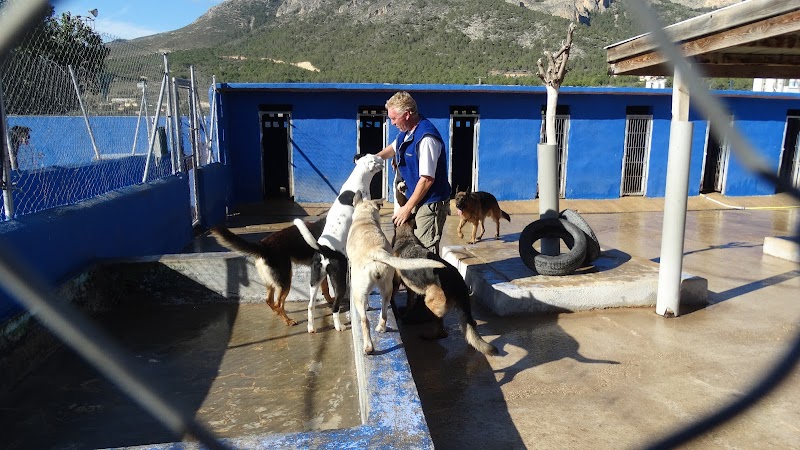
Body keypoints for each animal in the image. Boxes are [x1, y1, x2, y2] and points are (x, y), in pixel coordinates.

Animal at [294, 153, 385, 333]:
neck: (358, 178)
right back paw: (339, 326)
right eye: (376, 157)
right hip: (339, 280)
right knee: (335, 307)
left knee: (310, 306)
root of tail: (324, 249)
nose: (384, 158)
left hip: (315, 280)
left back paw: (311, 327)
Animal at [346, 192, 445, 355]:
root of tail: (377, 252)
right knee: (385, 311)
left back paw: (368, 347)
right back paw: (381, 327)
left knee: (365, 320)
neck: (365, 218)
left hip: (358, 294)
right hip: (388, 288)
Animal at [392, 215, 499, 355]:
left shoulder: (397, 282)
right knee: (470, 324)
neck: (406, 237)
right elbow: (409, 300)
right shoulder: (410, 286)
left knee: (442, 332)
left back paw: (429, 336)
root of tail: (458, 283)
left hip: (431, 303)